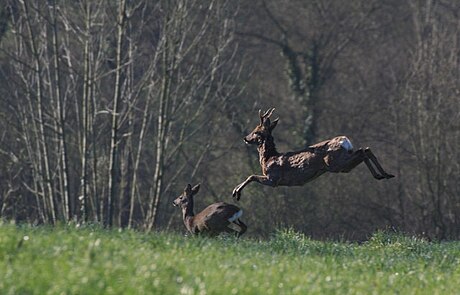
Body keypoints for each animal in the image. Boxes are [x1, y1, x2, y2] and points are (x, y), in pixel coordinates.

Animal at [232, 108, 394, 201]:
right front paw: (235, 191)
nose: (245, 138)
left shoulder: (274, 179)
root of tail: (345, 141)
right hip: (342, 162)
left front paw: (236, 192)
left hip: (335, 163)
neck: (268, 159)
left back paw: (380, 175)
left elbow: (251, 176)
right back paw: (385, 174)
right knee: (365, 149)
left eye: (256, 131)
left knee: (363, 151)